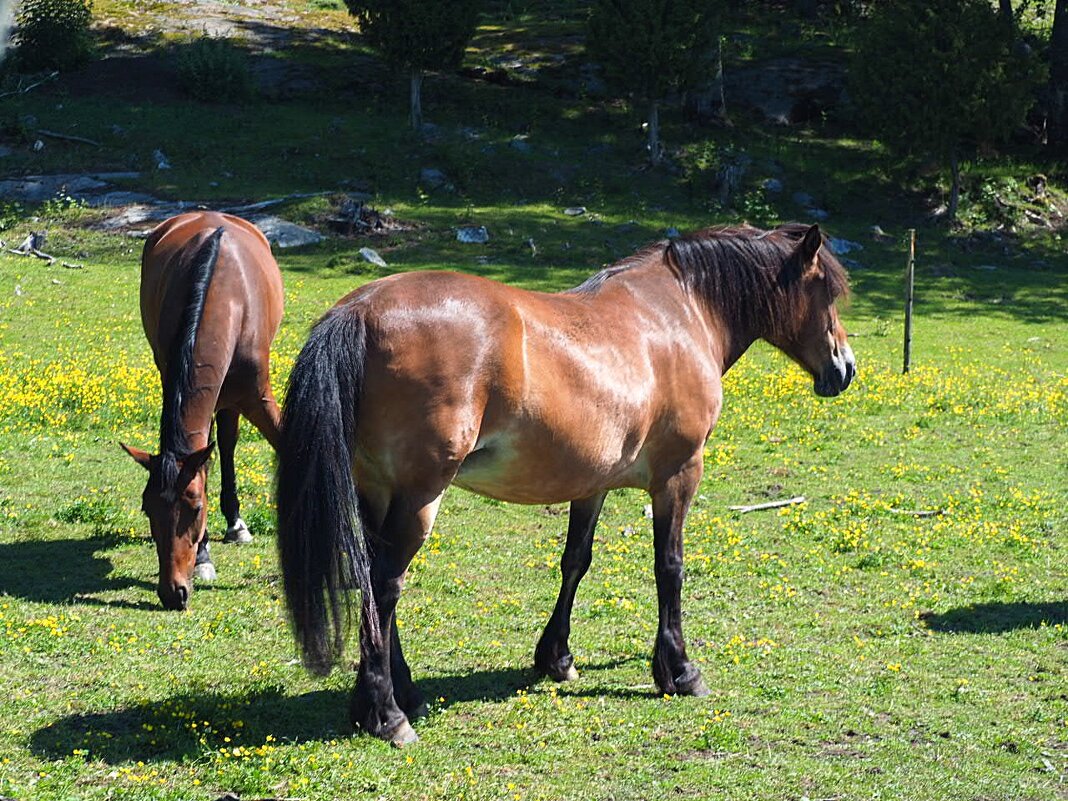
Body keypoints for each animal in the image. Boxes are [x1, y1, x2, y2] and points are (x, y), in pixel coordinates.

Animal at [121, 210, 284, 610]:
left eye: (194, 508)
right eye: (147, 508)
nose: (172, 592)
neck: (224, 296)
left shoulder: (258, 397)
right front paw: (204, 558)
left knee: (227, 442)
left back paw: (237, 524)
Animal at [277, 221, 858, 747]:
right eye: (827, 293)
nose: (845, 368)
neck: (679, 312)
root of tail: (360, 310)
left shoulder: (590, 483)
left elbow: (575, 560)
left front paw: (556, 657)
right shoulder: (679, 475)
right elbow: (669, 567)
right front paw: (678, 670)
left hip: (376, 492)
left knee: (376, 584)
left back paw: (402, 696)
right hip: (420, 496)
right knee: (384, 585)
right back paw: (386, 714)